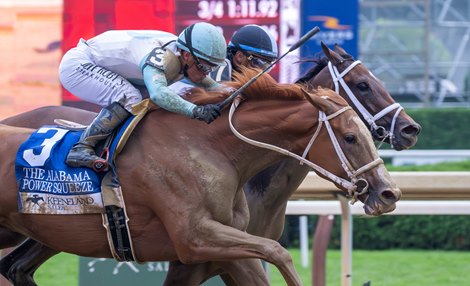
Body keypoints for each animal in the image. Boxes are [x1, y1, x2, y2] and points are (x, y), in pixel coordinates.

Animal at [0, 43, 418, 284]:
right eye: (363, 84)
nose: (389, 192)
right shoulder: (196, 244)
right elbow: (278, 253)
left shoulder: (227, 255)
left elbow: (270, 256)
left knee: (15, 268)